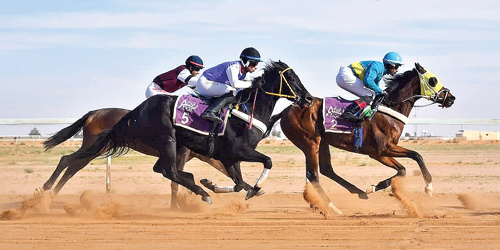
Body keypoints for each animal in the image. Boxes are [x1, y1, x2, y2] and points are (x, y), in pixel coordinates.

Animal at [38, 107, 258, 209]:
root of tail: (94, 113)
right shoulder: (180, 155)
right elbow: (176, 181)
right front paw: (177, 205)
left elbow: (182, 178)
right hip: (94, 147)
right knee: (67, 160)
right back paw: (45, 189)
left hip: (95, 149)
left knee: (72, 167)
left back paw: (51, 195)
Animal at [73, 61, 312, 204]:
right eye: (292, 79)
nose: (308, 99)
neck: (247, 110)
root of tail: (135, 111)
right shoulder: (238, 150)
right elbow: (267, 162)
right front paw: (253, 188)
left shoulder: (228, 156)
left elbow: (238, 184)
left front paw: (213, 184)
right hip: (168, 140)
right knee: (169, 171)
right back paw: (202, 194)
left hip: (170, 147)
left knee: (165, 170)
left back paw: (199, 187)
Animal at [268, 63, 456, 214]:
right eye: (433, 80)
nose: (451, 98)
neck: (390, 109)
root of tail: (285, 110)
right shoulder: (381, 150)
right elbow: (417, 156)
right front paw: (429, 187)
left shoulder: (381, 152)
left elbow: (403, 170)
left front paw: (373, 188)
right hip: (310, 143)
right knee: (313, 174)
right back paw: (331, 207)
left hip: (322, 143)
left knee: (326, 170)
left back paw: (351, 194)